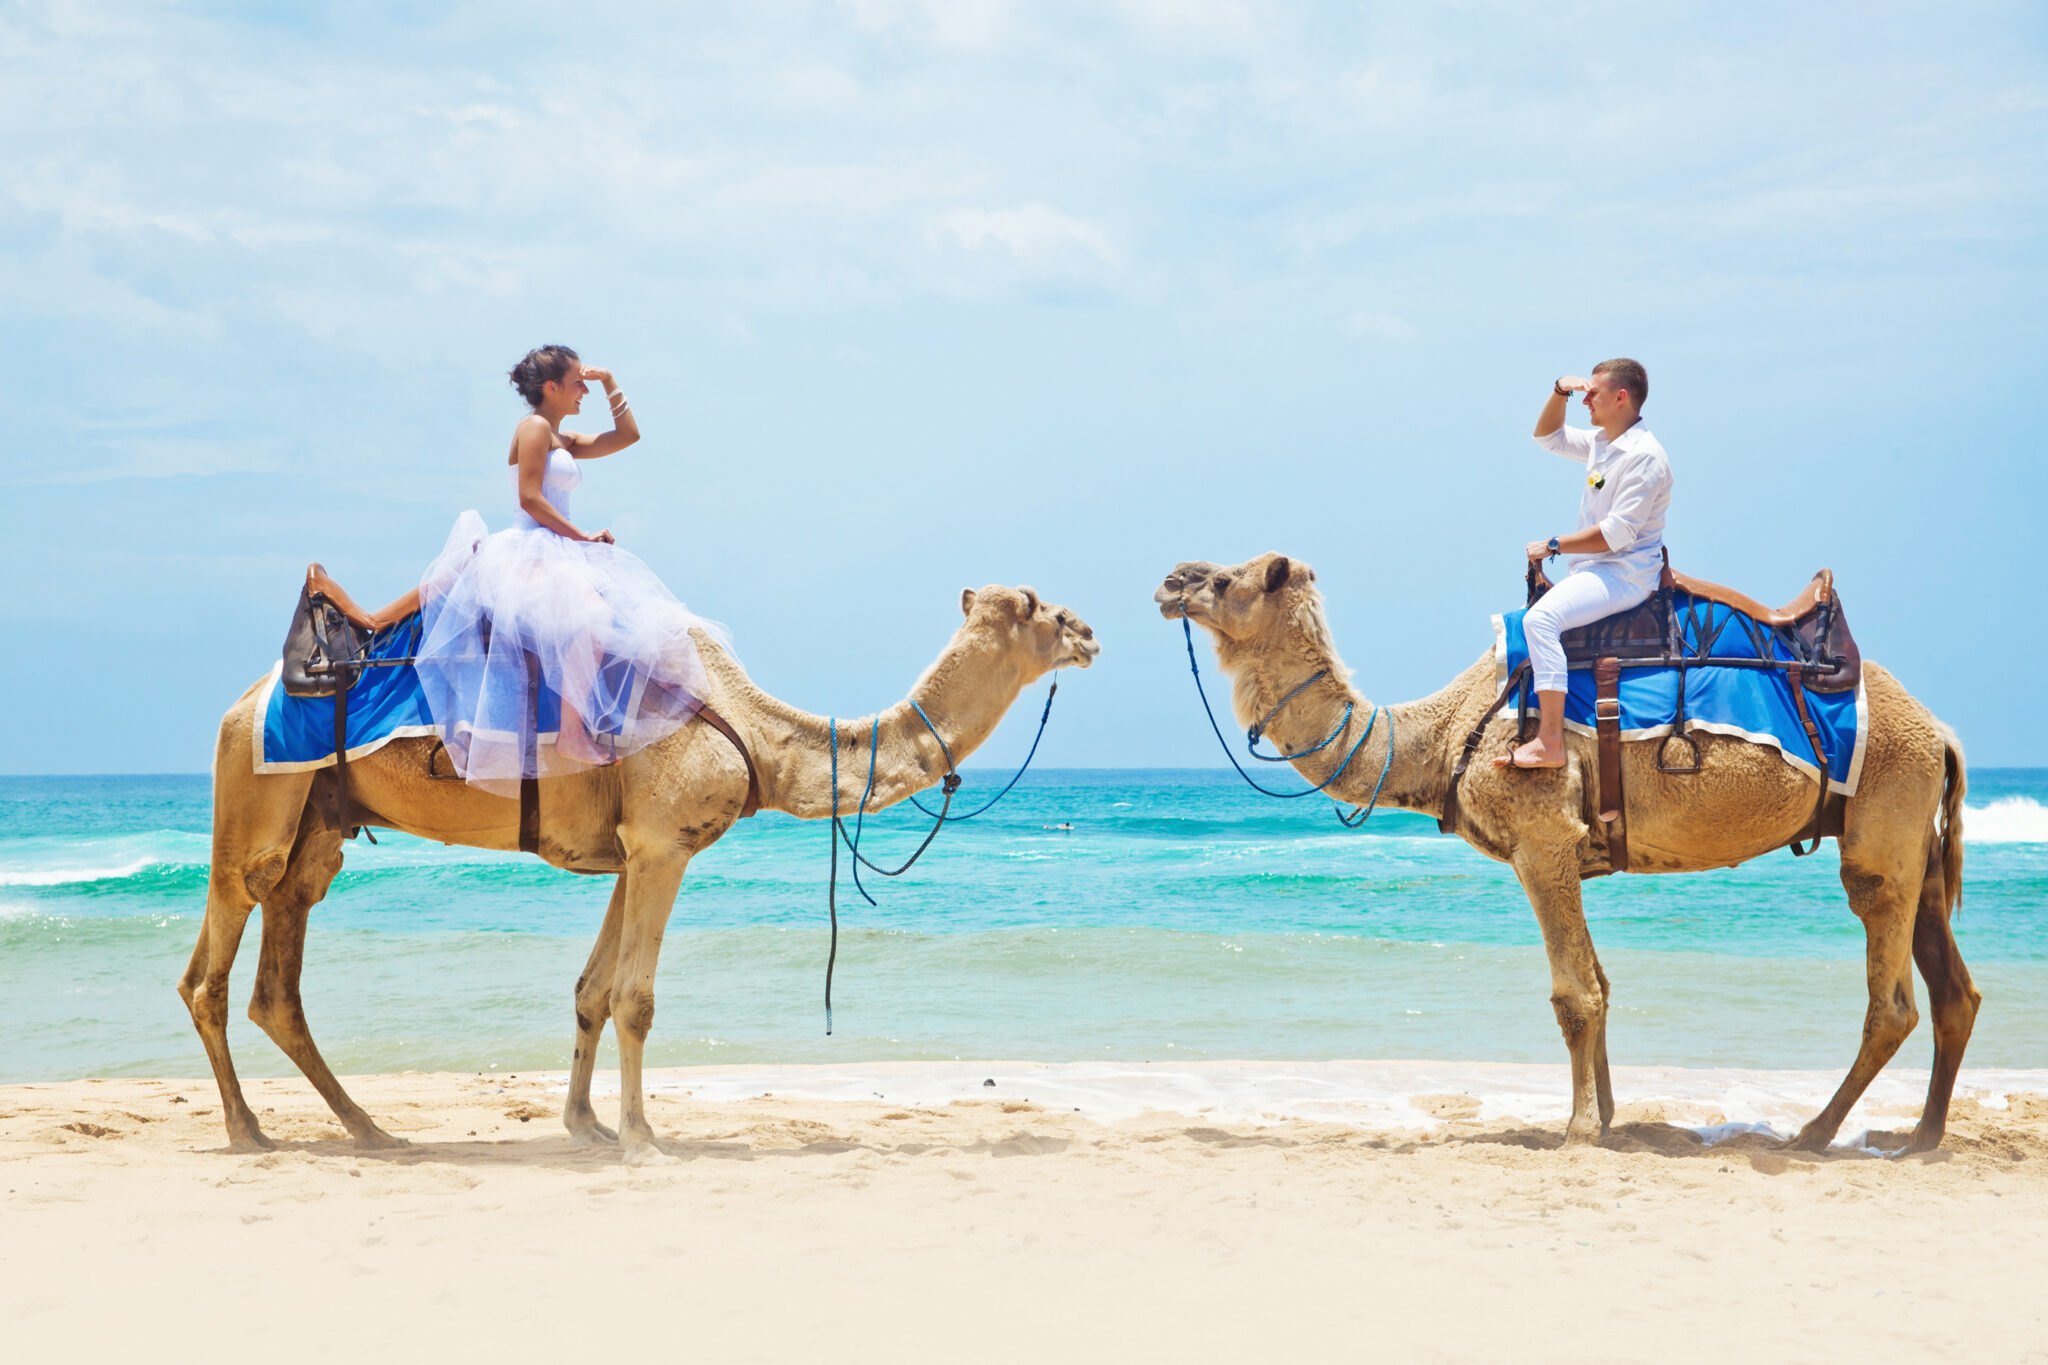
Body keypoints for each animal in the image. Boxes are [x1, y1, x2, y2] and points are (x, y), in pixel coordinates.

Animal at [184, 585, 1099, 1161]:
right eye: (1037, 606)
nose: (1090, 631)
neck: (755, 731)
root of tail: (240, 702)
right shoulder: (663, 844)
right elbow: (635, 998)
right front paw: (639, 1140)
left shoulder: (631, 850)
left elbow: (591, 989)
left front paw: (586, 1125)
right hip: (254, 797)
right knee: (211, 972)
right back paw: (248, 1131)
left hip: (317, 825)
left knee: (278, 981)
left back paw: (372, 1130)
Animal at [1156, 552, 1974, 1152]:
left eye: (1224, 579)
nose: (1170, 580)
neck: (1442, 733)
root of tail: (1939, 729)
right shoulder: (1566, 849)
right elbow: (1601, 984)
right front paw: (1607, 1118)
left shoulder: (1542, 838)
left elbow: (1574, 994)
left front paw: (1577, 1129)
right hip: (1918, 838)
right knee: (1953, 993)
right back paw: (1921, 1137)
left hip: (1885, 810)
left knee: (1890, 997)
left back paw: (1814, 1133)